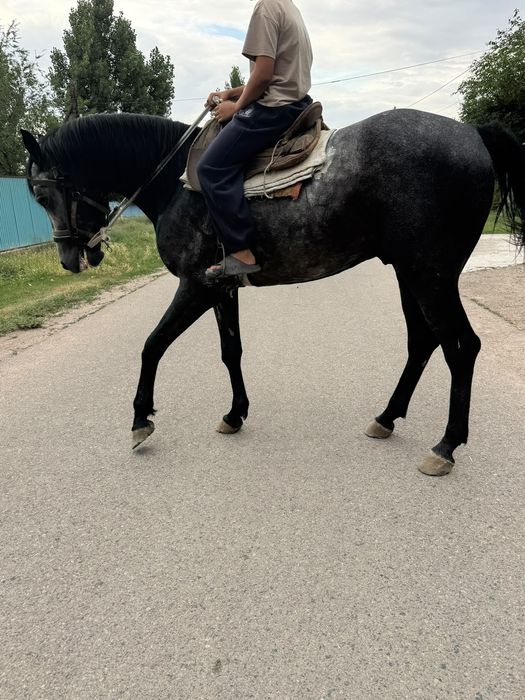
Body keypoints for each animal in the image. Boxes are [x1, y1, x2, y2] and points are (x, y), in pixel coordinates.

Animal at [22, 108, 525, 476]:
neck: (176, 183)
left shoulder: (194, 286)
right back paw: (386, 418)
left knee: (462, 347)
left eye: (43, 195)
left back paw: (446, 445)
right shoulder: (221, 288)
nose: (69, 260)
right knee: (422, 342)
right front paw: (235, 414)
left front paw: (141, 419)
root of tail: (472, 134)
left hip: (431, 277)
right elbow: (231, 351)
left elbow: (152, 345)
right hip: (410, 274)